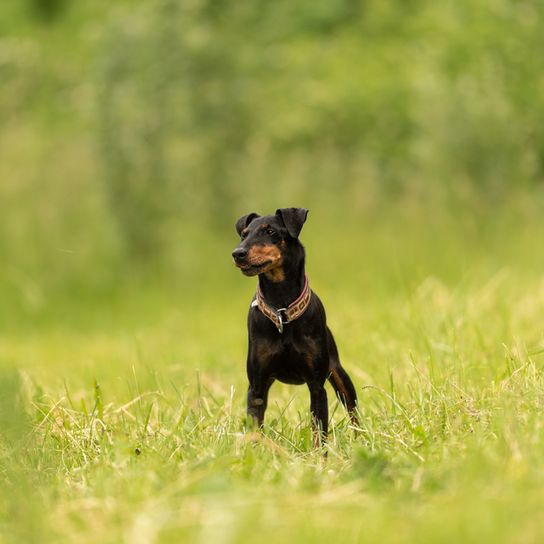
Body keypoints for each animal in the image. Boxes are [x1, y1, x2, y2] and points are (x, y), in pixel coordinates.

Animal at [232, 206, 360, 444]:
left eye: (271, 231)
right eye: (244, 234)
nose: (238, 254)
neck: (282, 310)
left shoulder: (317, 387)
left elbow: (320, 432)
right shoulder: (256, 388)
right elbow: (255, 428)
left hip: (339, 374)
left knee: (354, 412)